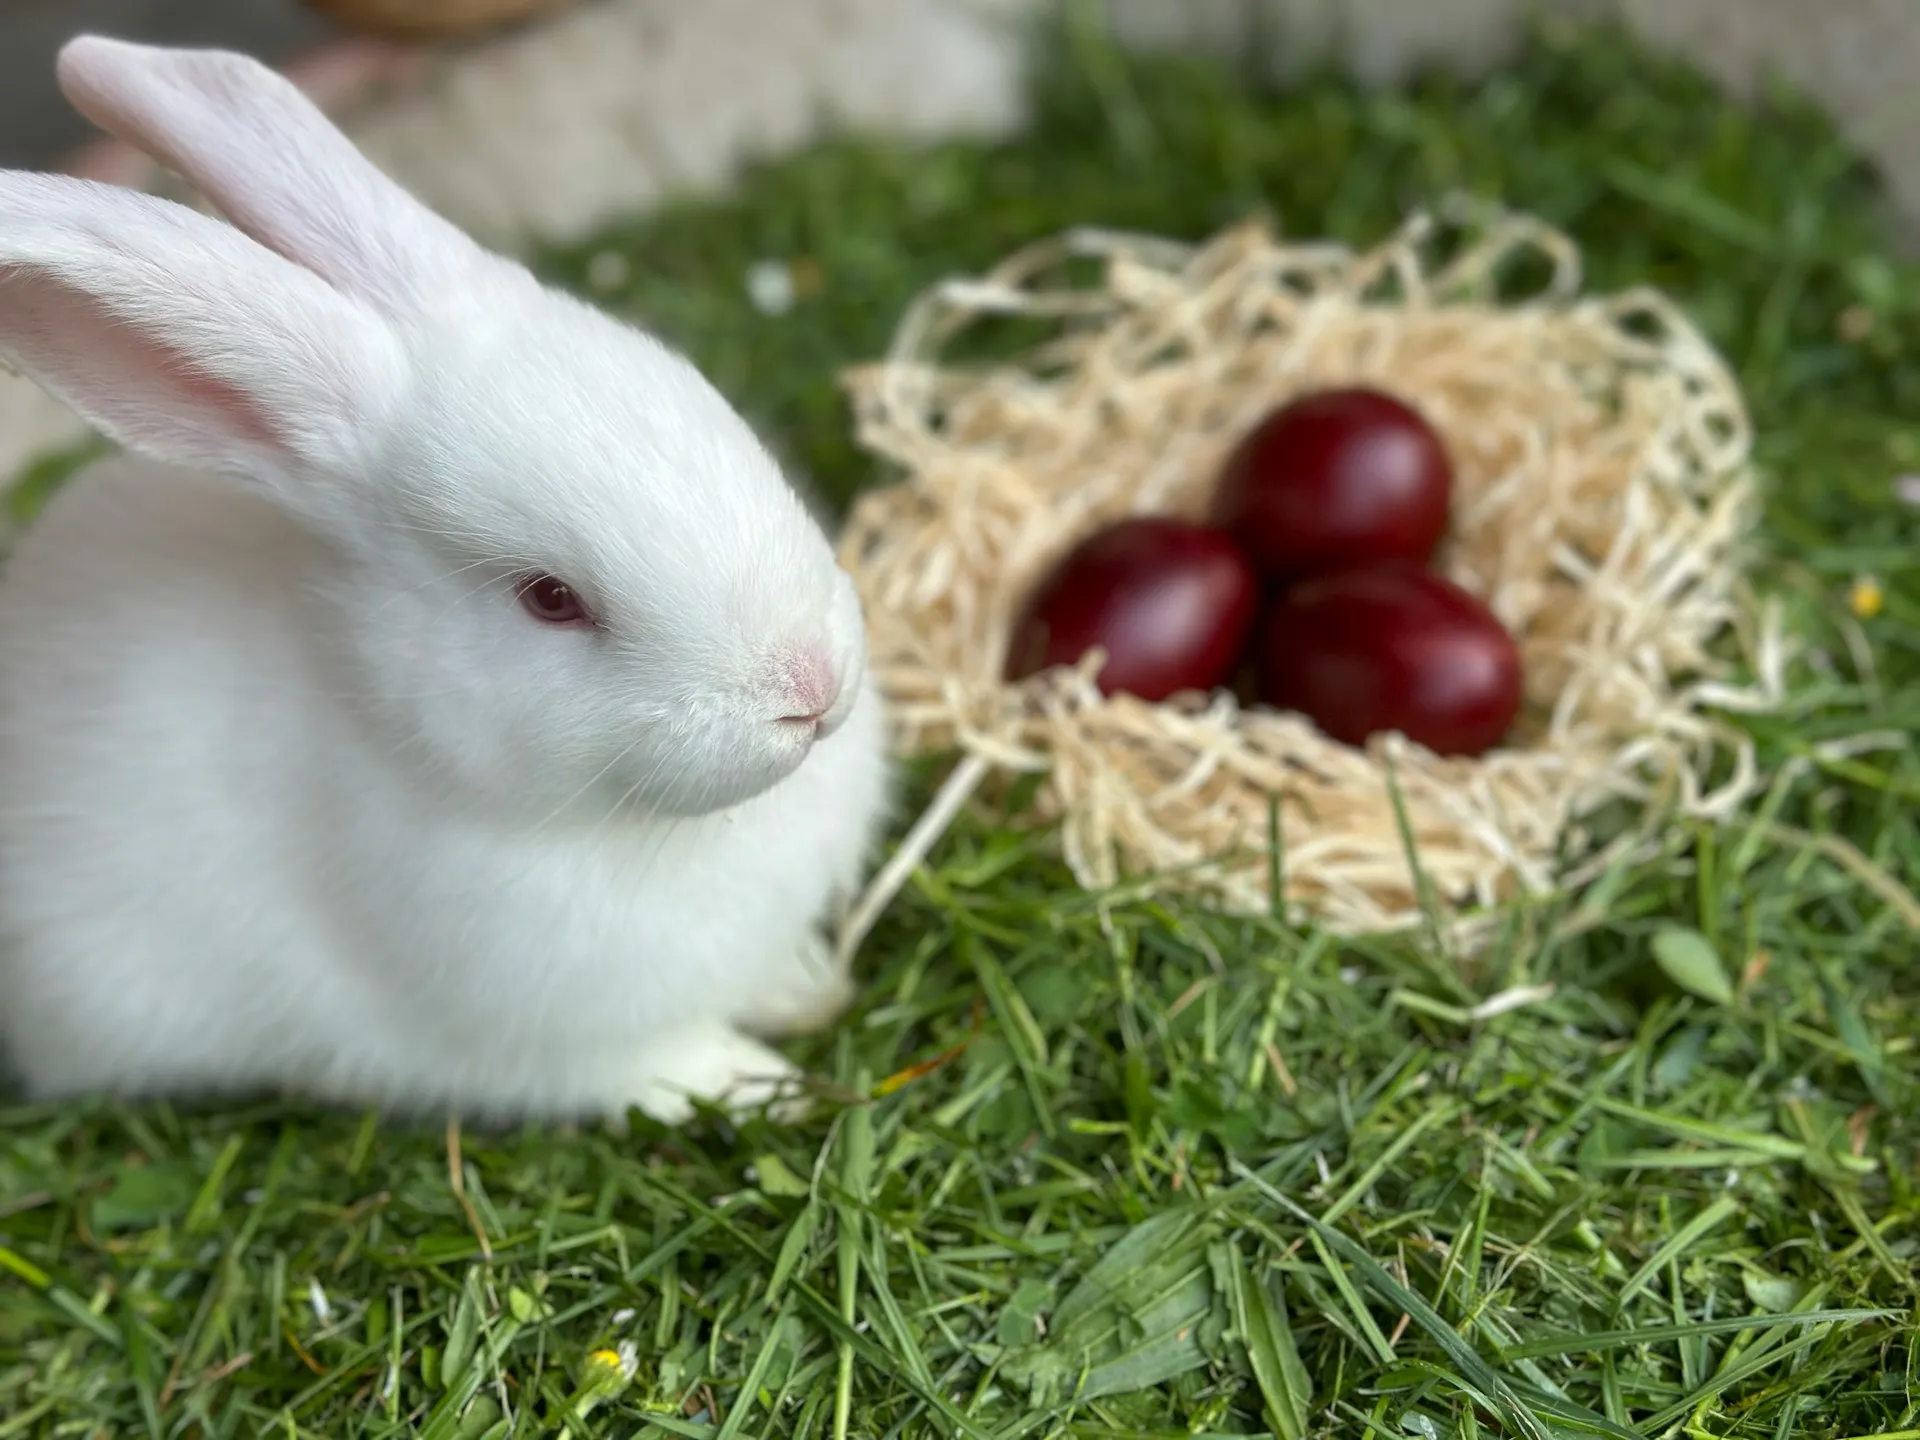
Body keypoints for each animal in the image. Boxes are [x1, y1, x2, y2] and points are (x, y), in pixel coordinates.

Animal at [0, 35, 892, 1126]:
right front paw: (776, 1086)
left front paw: (807, 986)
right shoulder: (561, 1044)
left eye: (718, 411)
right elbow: (669, 1065)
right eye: (550, 598)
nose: (812, 688)